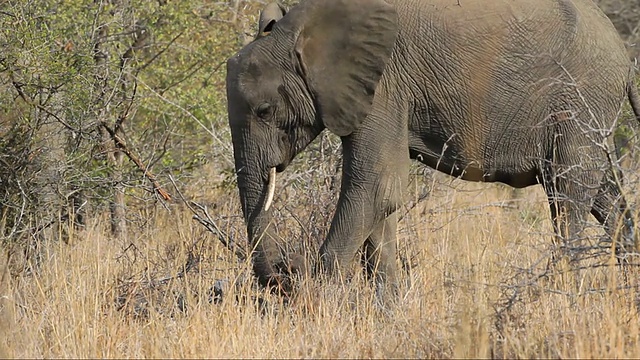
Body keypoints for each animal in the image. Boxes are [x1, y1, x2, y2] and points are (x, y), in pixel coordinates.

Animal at [225, 0, 640, 292]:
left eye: (264, 110)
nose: (284, 274)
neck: (303, 27)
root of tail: (624, 53)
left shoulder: (385, 85)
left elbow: (375, 186)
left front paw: (312, 304)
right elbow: (383, 198)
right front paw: (386, 311)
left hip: (580, 97)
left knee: (568, 194)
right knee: (606, 194)